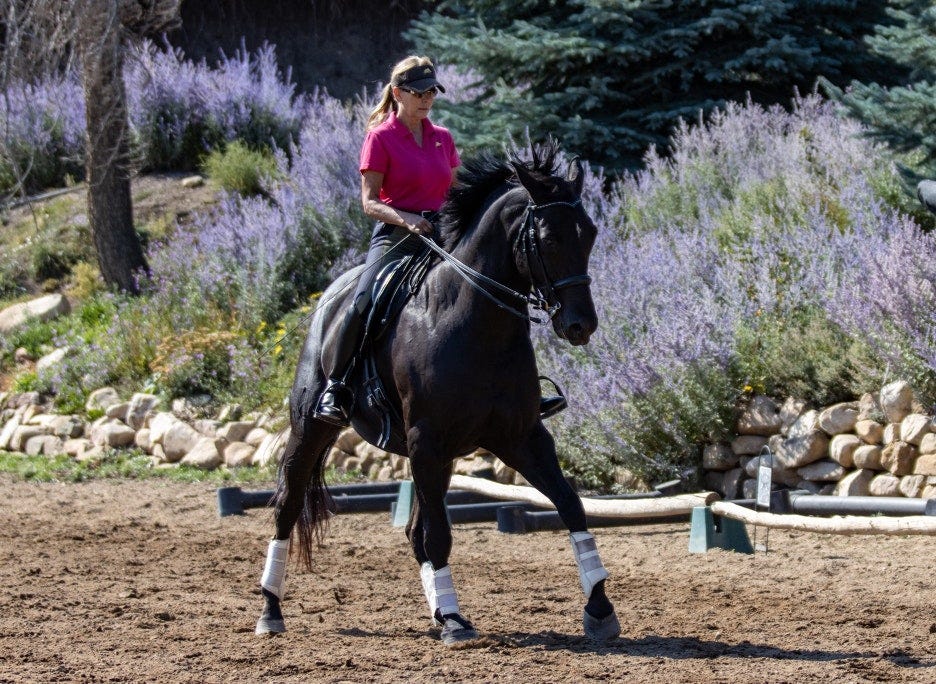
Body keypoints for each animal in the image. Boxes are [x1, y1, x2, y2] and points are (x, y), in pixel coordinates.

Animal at [256, 142, 620, 644]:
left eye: (590, 234)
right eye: (548, 240)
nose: (581, 326)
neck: (476, 325)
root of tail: (332, 295)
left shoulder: (521, 437)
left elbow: (571, 506)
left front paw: (600, 608)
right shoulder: (427, 441)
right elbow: (439, 536)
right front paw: (453, 622)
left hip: (439, 456)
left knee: (415, 531)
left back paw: (436, 609)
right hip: (312, 428)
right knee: (288, 506)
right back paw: (270, 610)